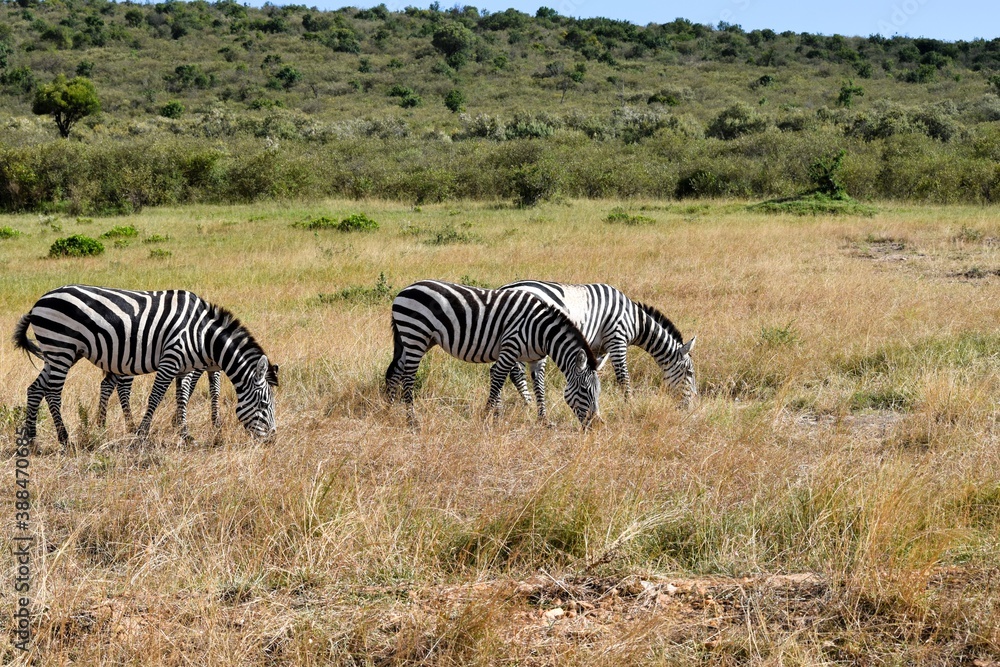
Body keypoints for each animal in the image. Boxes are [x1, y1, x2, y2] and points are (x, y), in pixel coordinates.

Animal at [12, 285, 278, 448]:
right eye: (265, 405)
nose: (272, 441)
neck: (202, 335)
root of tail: (39, 302)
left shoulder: (184, 367)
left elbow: (182, 398)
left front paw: (185, 435)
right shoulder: (171, 358)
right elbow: (156, 397)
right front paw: (141, 435)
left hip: (57, 353)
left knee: (35, 389)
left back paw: (32, 439)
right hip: (61, 348)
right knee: (53, 392)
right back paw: (65, 440)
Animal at [385, 280, 602, 428]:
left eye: (598, 391)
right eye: (584, 390)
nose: (595, 424)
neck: (542, 332)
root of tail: (404, 290)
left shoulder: (536, 359)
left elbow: (539, 386)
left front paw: (543, 420)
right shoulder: (510, 347)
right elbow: (498, 380)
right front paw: (487, 416)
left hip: (417, 339)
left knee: (395, 372)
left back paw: (388, 409)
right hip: (415, 334)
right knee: (408, 377)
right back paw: (412, 420)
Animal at [496, 281, 696, 418]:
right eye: (690, 373)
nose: (690, 406)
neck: (634, 320)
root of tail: (504, 288)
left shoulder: (597, 349)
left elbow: (594, 373)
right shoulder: (617, 339)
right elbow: (623, 377)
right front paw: (630, 406)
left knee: (511, 372)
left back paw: (524, 405)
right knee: (514, 372)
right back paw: (527, 404)